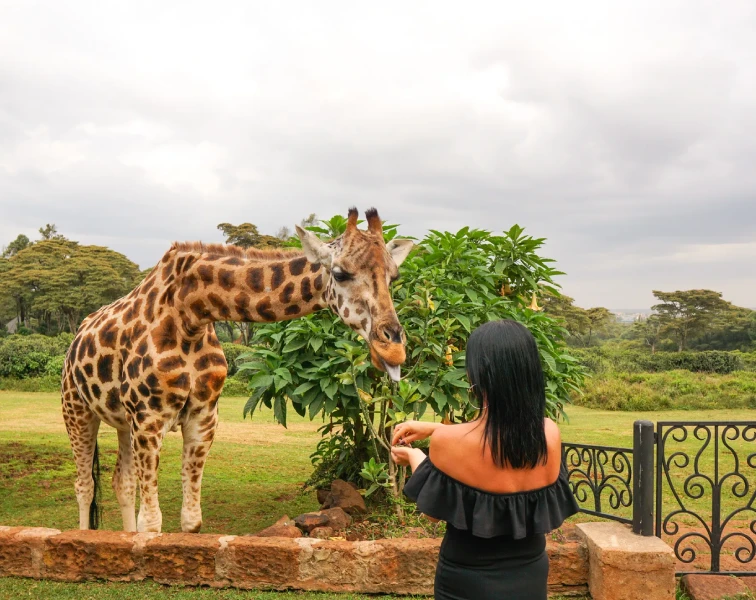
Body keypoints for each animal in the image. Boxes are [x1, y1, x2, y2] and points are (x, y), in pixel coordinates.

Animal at [61, 208, 413, 534]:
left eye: (394, 277)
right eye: (340, 274)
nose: (393, 347)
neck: (191, 314)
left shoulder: (202, 418)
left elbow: (191, 521)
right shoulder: (150, 418)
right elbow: (151, 524)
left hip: (123, 421)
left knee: (122, 481)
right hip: (77, 409)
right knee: (84, 485)